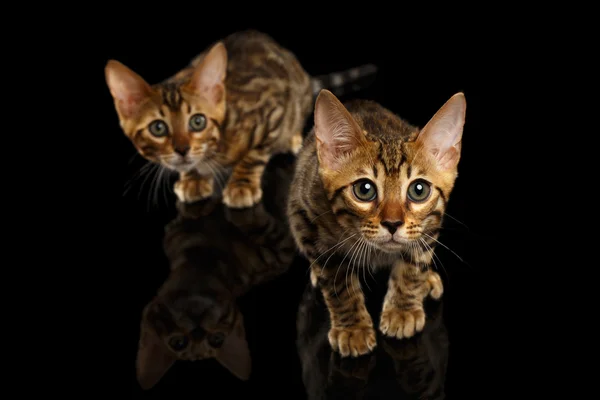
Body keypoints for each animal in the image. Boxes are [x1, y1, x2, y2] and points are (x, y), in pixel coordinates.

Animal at [103, 29, 376, 208]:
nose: (182, 149)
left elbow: (254, 154)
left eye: (197, 121)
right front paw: (192, 178)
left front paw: (241, 185)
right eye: (158, 128)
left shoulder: (273, 110)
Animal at [288, 90, 466, 356]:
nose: (393, 223)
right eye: (364, 189)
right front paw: (353, 328)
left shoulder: (431, 225)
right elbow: (338, 281)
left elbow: (413, 265)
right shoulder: (306, 217)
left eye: (419, 190)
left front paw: (402, 310)